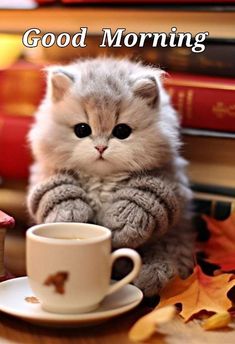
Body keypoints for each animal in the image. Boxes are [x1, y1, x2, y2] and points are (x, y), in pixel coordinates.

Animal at [27, 57, 195, 296]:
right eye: (82, 129)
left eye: (122, 131)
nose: (100, 147)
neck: (102, 179)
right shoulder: (45, 173)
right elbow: (56, 191)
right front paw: (71, 213)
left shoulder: (168, 181)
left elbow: (142, 198)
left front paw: (122, 222)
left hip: (172, 240)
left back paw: (153, 274)